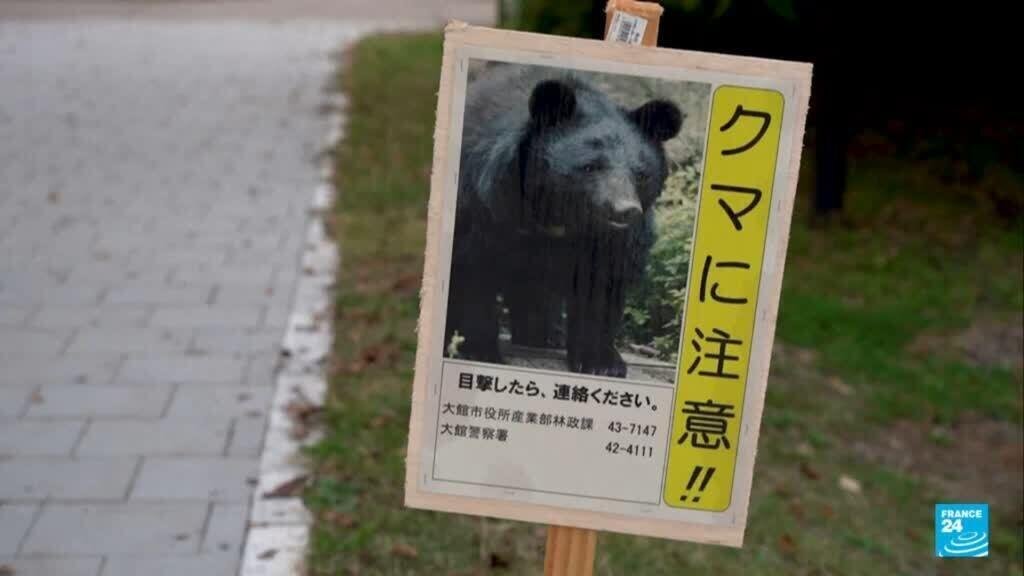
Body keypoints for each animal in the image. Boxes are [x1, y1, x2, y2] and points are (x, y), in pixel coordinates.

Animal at [443, 63, 684, 378]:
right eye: (590, 167)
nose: (624, 211)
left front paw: (602, 363)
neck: (560, 217)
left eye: (641, 174)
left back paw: (543, 334)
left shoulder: (614, 240)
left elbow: (602, 285)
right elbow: (473, 270)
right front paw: (477, 350)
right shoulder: (484, 204)